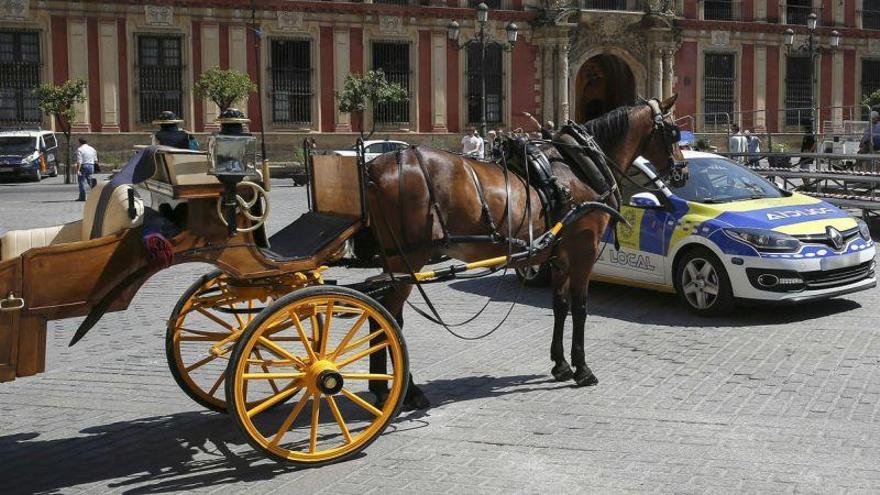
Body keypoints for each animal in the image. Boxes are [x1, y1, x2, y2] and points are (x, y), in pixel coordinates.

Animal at [362, 95, 688, 408]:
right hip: (410, 259)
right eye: (673, 132)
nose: (682, 173)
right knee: (390, 317)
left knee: (378, 314)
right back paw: (406, 391)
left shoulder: (560, 257)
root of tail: (376, 167)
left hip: (395, 261)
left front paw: (561, 364)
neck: (580, 167)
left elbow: (560, 306)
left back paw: (381, 388)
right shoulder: (583, 251)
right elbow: (580, 309)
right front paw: (582, 369)